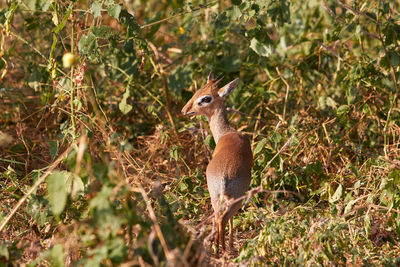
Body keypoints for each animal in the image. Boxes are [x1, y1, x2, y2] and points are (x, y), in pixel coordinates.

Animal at [182, 73, 253, 255]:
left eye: (205, 97)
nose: (185, 110)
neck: (226, 132)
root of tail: (223, 176)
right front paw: (231, 245)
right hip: (235, 199)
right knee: (223, 218)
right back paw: (225, 249)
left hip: (214, 196)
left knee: (217, 217)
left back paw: (216, 247)